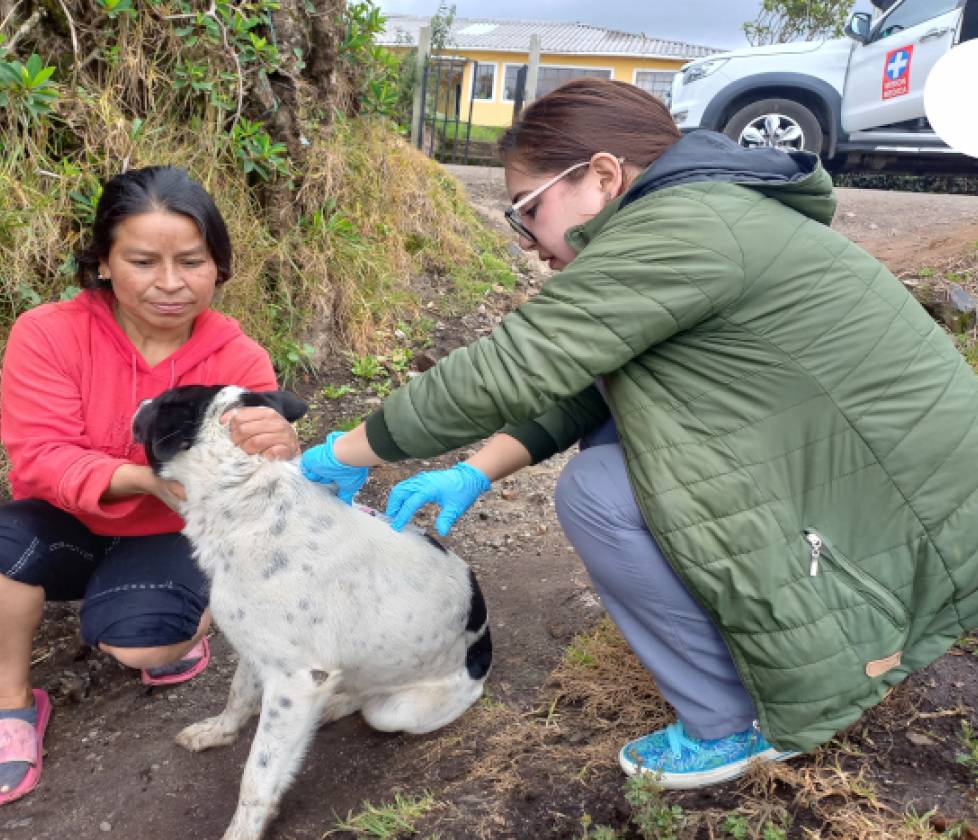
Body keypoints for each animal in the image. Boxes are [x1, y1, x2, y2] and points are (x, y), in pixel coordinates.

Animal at [133, 386, 492, 840]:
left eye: (162, 402)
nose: (139, 403)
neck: (249, 496)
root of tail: (483, 654)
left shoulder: (296, 681)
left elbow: (258, 774)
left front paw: (245, 828)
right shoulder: (257, 652)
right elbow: (238, 696)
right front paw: (219, 731)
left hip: (399, 710)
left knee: (373, 704)